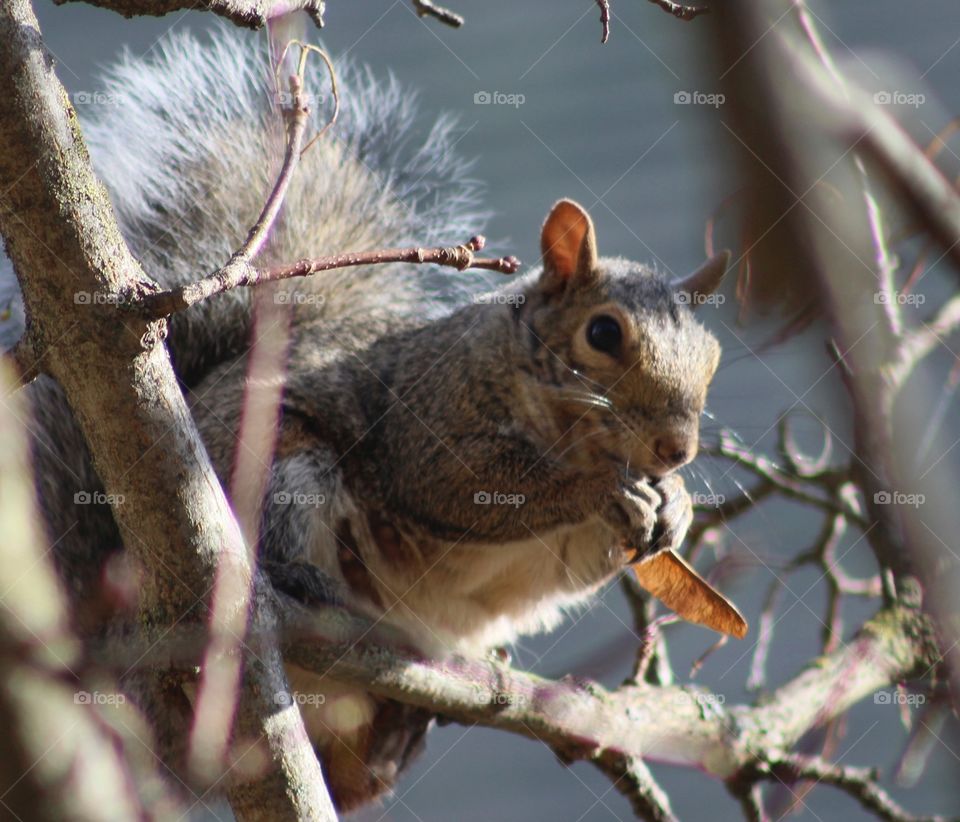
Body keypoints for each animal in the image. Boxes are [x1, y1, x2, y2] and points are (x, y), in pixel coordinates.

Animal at [0, 24, 724, 812]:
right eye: (603, 334)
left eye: (714, 355)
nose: (677, 449)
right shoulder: (427, 416)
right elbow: (466, 487)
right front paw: (600, 489)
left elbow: (568, 562)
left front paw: (675, 507)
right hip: (289, 470)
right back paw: (313, 595)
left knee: (354, 782)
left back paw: (399, 733)